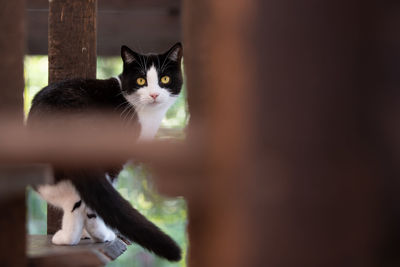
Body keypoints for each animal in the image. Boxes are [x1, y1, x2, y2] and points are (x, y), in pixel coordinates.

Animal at [27, 43, 184, 262]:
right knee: (84, 204)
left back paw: (69, 237)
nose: (154, 95)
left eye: (165, 79)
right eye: (141, 80)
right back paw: (97, 235)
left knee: (68, 197)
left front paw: (83, 235)